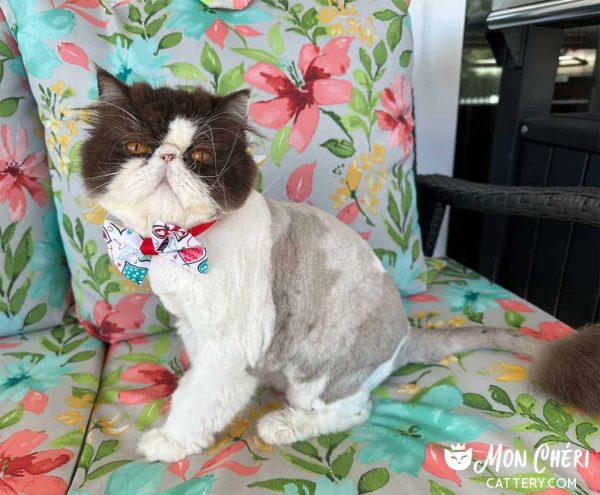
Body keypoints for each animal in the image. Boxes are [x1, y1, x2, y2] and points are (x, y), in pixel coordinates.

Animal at [81, 70, 600, 464]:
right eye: (135, 147)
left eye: (201, 156)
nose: (168, 157)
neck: (175, 243)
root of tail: (407, 336)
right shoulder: (193, 328)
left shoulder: (227, 350)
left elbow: (196, 400)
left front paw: (167, 442)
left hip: (320, 373)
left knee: (353, 411)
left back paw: (283, 425)